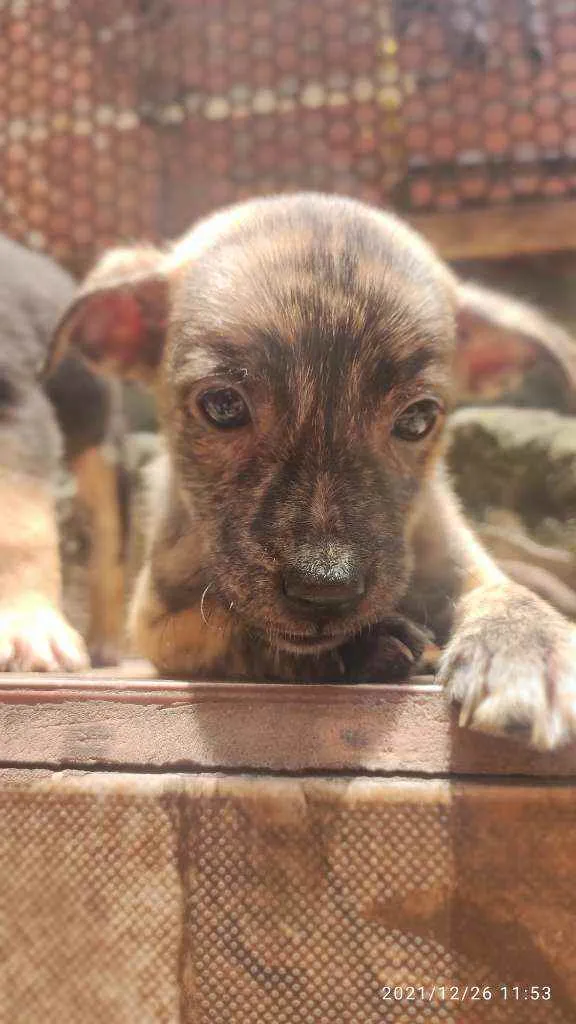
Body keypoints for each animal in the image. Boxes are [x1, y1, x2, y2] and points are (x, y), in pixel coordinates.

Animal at [0, 236, 125, 675]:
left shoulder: (17, 409)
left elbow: (18, 527)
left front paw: (27, 625)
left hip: (99, 446)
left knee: (109, 547)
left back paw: (107, 642)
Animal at [50, 192, 573, 749]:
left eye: (417, 419)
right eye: (222, 406)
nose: (327, 590)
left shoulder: (456, 553)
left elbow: (505, 591)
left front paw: (530, 645)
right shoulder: (158, 618)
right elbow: (232, 626)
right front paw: (360, 648)